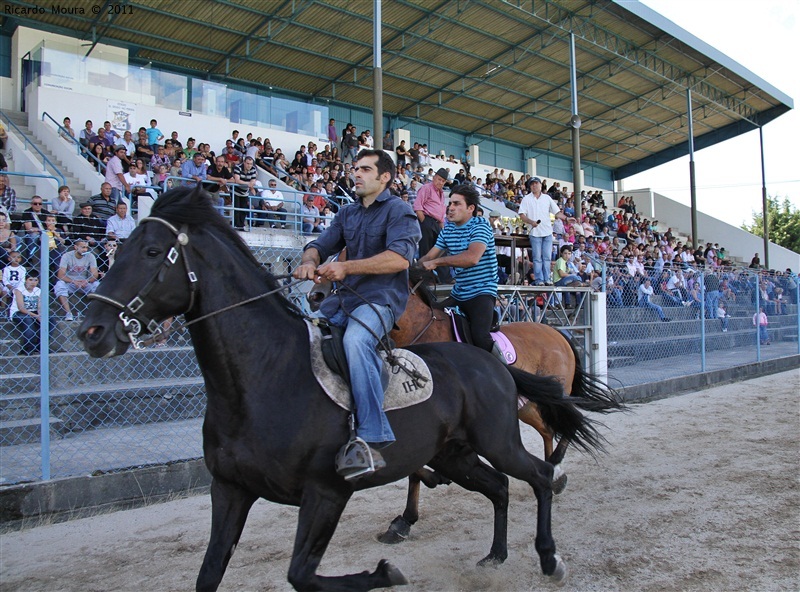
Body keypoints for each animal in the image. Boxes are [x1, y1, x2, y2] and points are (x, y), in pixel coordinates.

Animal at [78, 186, 600, 592]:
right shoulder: (229, 491)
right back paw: (496, 553)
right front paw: (399, 532)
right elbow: (211, 573)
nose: (92, 330)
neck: (266, 376)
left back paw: (550, 550)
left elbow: (301, 574)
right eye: (117, 250)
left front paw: (387, 571)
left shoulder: (326, 493)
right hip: (458, 451)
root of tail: (491, 361)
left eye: (151, 253)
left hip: (499, 437)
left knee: (537, 470)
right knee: (501, 484)